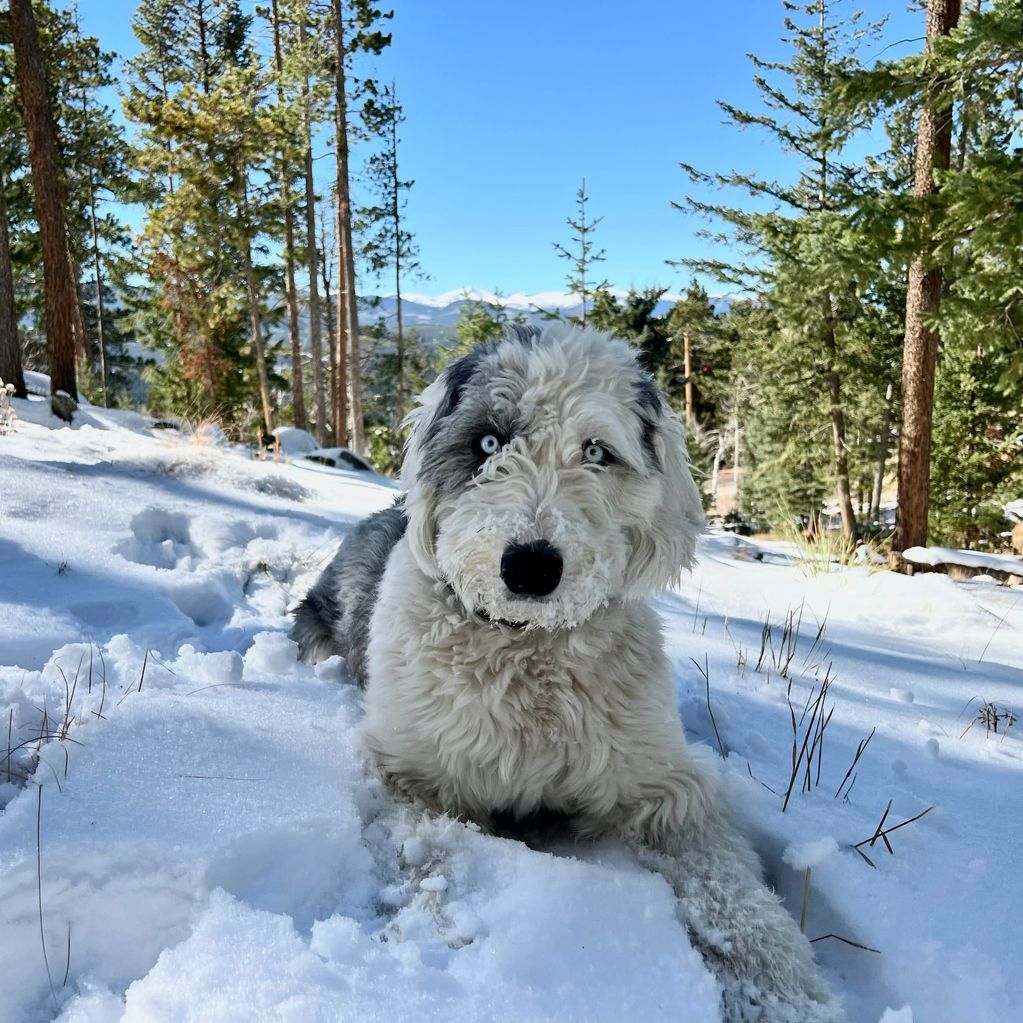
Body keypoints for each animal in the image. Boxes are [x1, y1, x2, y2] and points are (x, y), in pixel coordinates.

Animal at [292, 327, 842, 1023]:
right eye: (489, 442)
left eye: (597, 451)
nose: (530, 568)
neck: (526, 650)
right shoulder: (411, 772)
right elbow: (436, 852)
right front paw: (433, 938)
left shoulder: (662, 783)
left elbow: (728, 888)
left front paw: (786, 994)